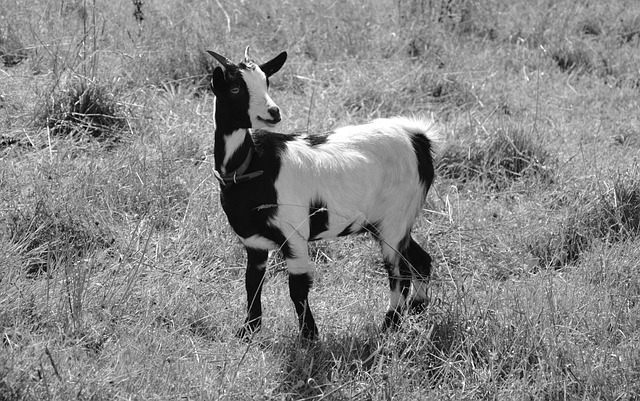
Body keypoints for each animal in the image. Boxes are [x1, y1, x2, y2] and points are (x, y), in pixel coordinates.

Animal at [208, 48, 438, 340]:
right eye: (236, 88)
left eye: (266, 82)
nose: (273, 112)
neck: (253, 164)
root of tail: (418, 138)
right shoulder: (254, 241)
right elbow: (252, 282)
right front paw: (248, 331)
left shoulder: (294, 235)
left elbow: (297, 287)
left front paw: (309, 336)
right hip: (390, 221)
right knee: (420, 260)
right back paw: (417, 310)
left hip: (394, 220)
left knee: (399, 272)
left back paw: (388, 326)